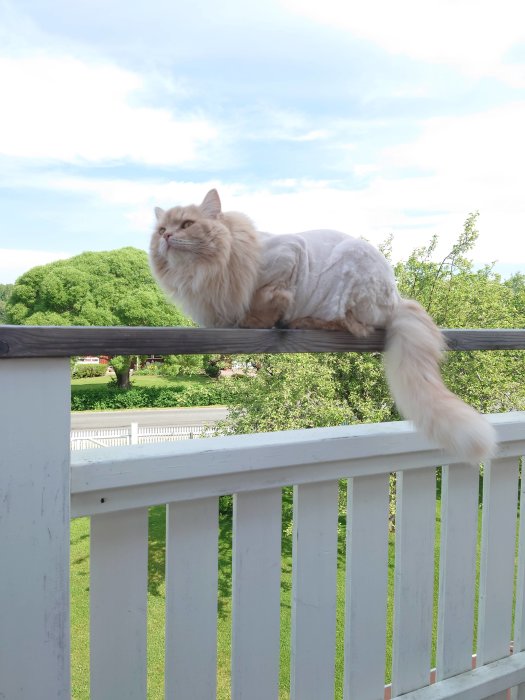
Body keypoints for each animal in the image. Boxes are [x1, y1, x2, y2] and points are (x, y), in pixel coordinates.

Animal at [150, 190, 496, 464]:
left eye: (186, 225)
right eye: (162, 229)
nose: (166, 237)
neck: (205, 271)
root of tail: (397, 298)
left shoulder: (287, 257)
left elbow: (265, 301)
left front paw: (256, 319)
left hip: (350, 273)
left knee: (350, 325)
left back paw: (300, 320)